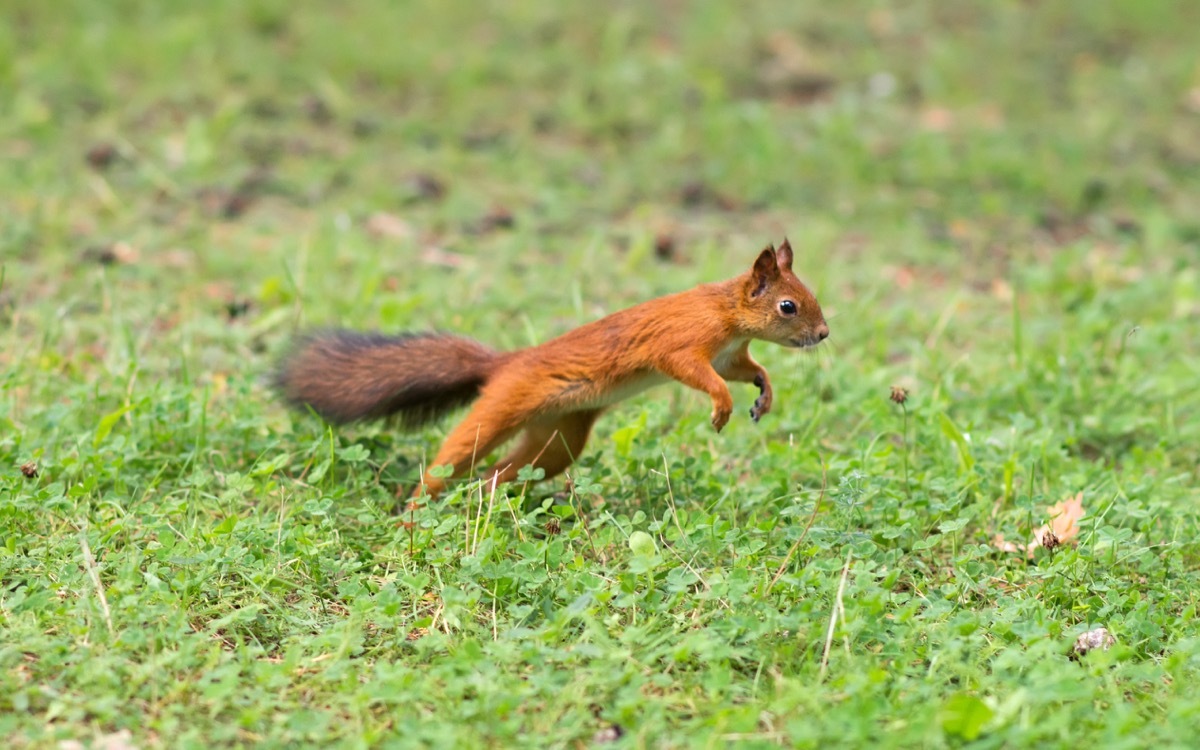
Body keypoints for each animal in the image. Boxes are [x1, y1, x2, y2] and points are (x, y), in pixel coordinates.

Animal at [274, 239, 829, 499]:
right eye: (787, 306)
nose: (823, 334)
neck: (726, 311)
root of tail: (506, 363)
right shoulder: (681, 343)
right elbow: (696, 372)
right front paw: (721, 406)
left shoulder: (731, 353)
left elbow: (746, 368)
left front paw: (764, 393)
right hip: (503, 407)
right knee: (453, 459)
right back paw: (416, 512)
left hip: (557, 439)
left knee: (501, 473)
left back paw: (487, 502)